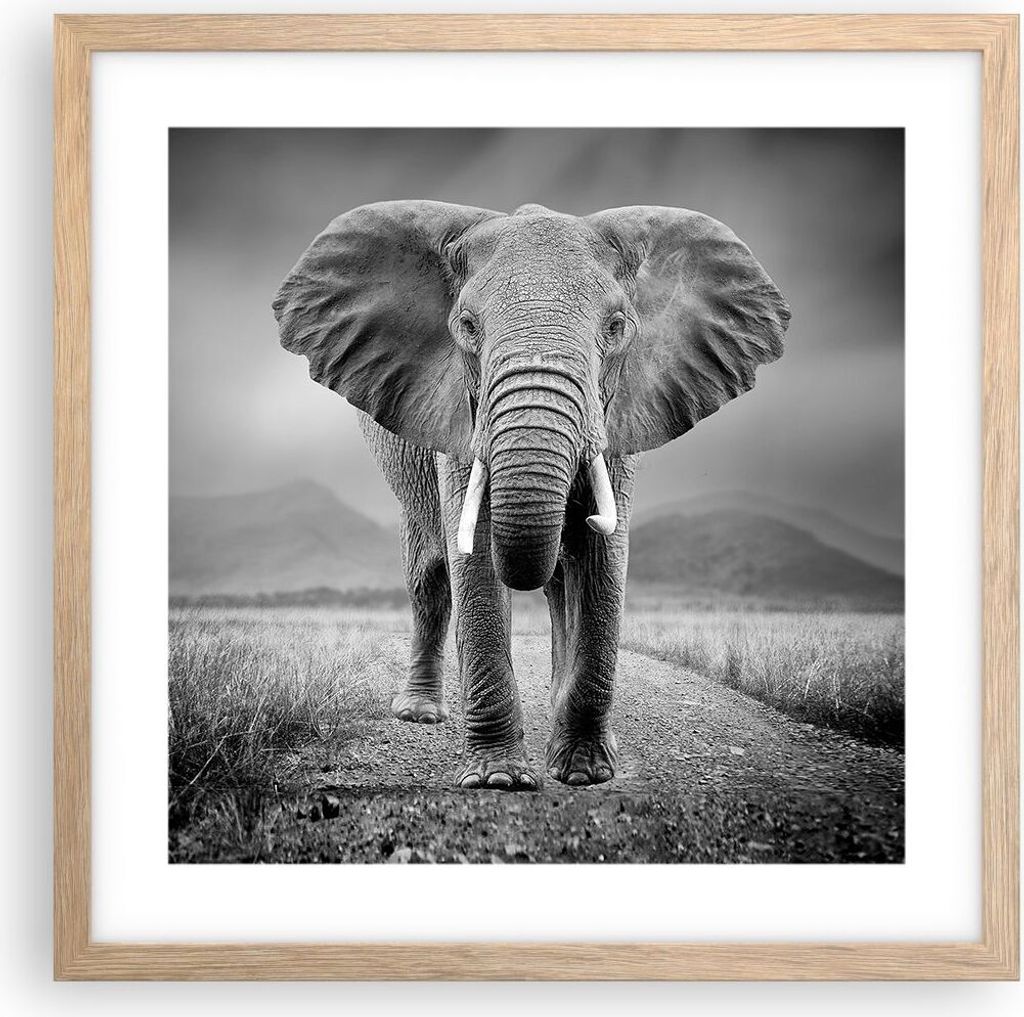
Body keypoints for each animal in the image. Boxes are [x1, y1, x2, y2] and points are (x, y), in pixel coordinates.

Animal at [273, 201, 790, 791]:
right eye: (466, 327)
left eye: (617, 328)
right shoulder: (461, 416)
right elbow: (472, 558)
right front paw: (499, 780)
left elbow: (603, 560)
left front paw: (585, 772)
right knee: (429, 576)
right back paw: (420, 714)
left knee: (561, 583)